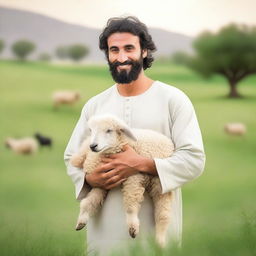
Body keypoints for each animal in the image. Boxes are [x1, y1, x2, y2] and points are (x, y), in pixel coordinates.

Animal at [70, 114, 174, 246]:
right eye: (91, 130)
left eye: (109, 130)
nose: (93, 146)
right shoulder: (102, 181)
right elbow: (90, 201)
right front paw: (82, 220)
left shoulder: (133, 177)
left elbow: (130, 203)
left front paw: (133, 227)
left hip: (159, 183)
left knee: (163, 214)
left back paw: (160, 241)